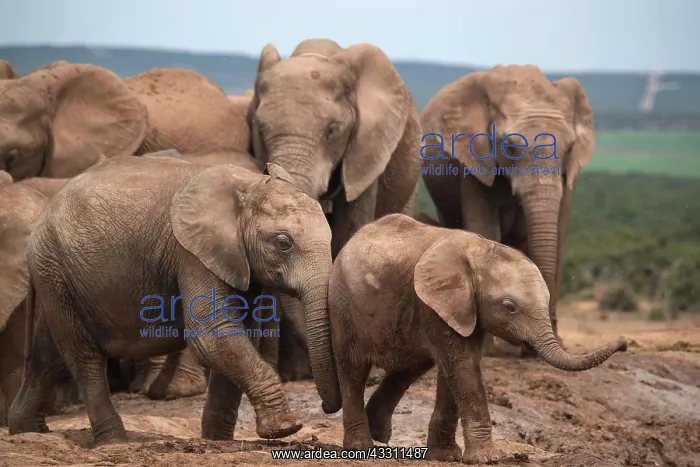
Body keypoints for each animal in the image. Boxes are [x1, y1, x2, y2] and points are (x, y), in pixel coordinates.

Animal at [8, 155, 340, 446]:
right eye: (283, 243)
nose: (327, 407)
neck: (248, 184)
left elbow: (237, 334)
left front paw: (218, 440)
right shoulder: (191, 254)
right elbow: (212, 334)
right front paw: (285, 429)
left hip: (57, 278)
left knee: (48, 357)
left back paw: (27, 431)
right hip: (56, 269)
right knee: (83, 357)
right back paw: (113, 441)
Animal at [327, 213, 629, 464]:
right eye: (509, 307)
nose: (625, 342)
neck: (482, 250)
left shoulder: (460, 309)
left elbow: (454, 369)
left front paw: (447, 456)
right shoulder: (433, 305)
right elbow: (461, 365)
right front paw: (486, 459)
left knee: (411, 367)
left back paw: (379, 433)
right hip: (343, 305)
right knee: (353, 370)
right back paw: (362, 448)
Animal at [420, 65, 595, 356]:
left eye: (570, 148)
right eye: (511, 146)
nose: (531, 350)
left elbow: (558, 235)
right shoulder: (475, 160)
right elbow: (485, 228)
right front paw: (487, 349)